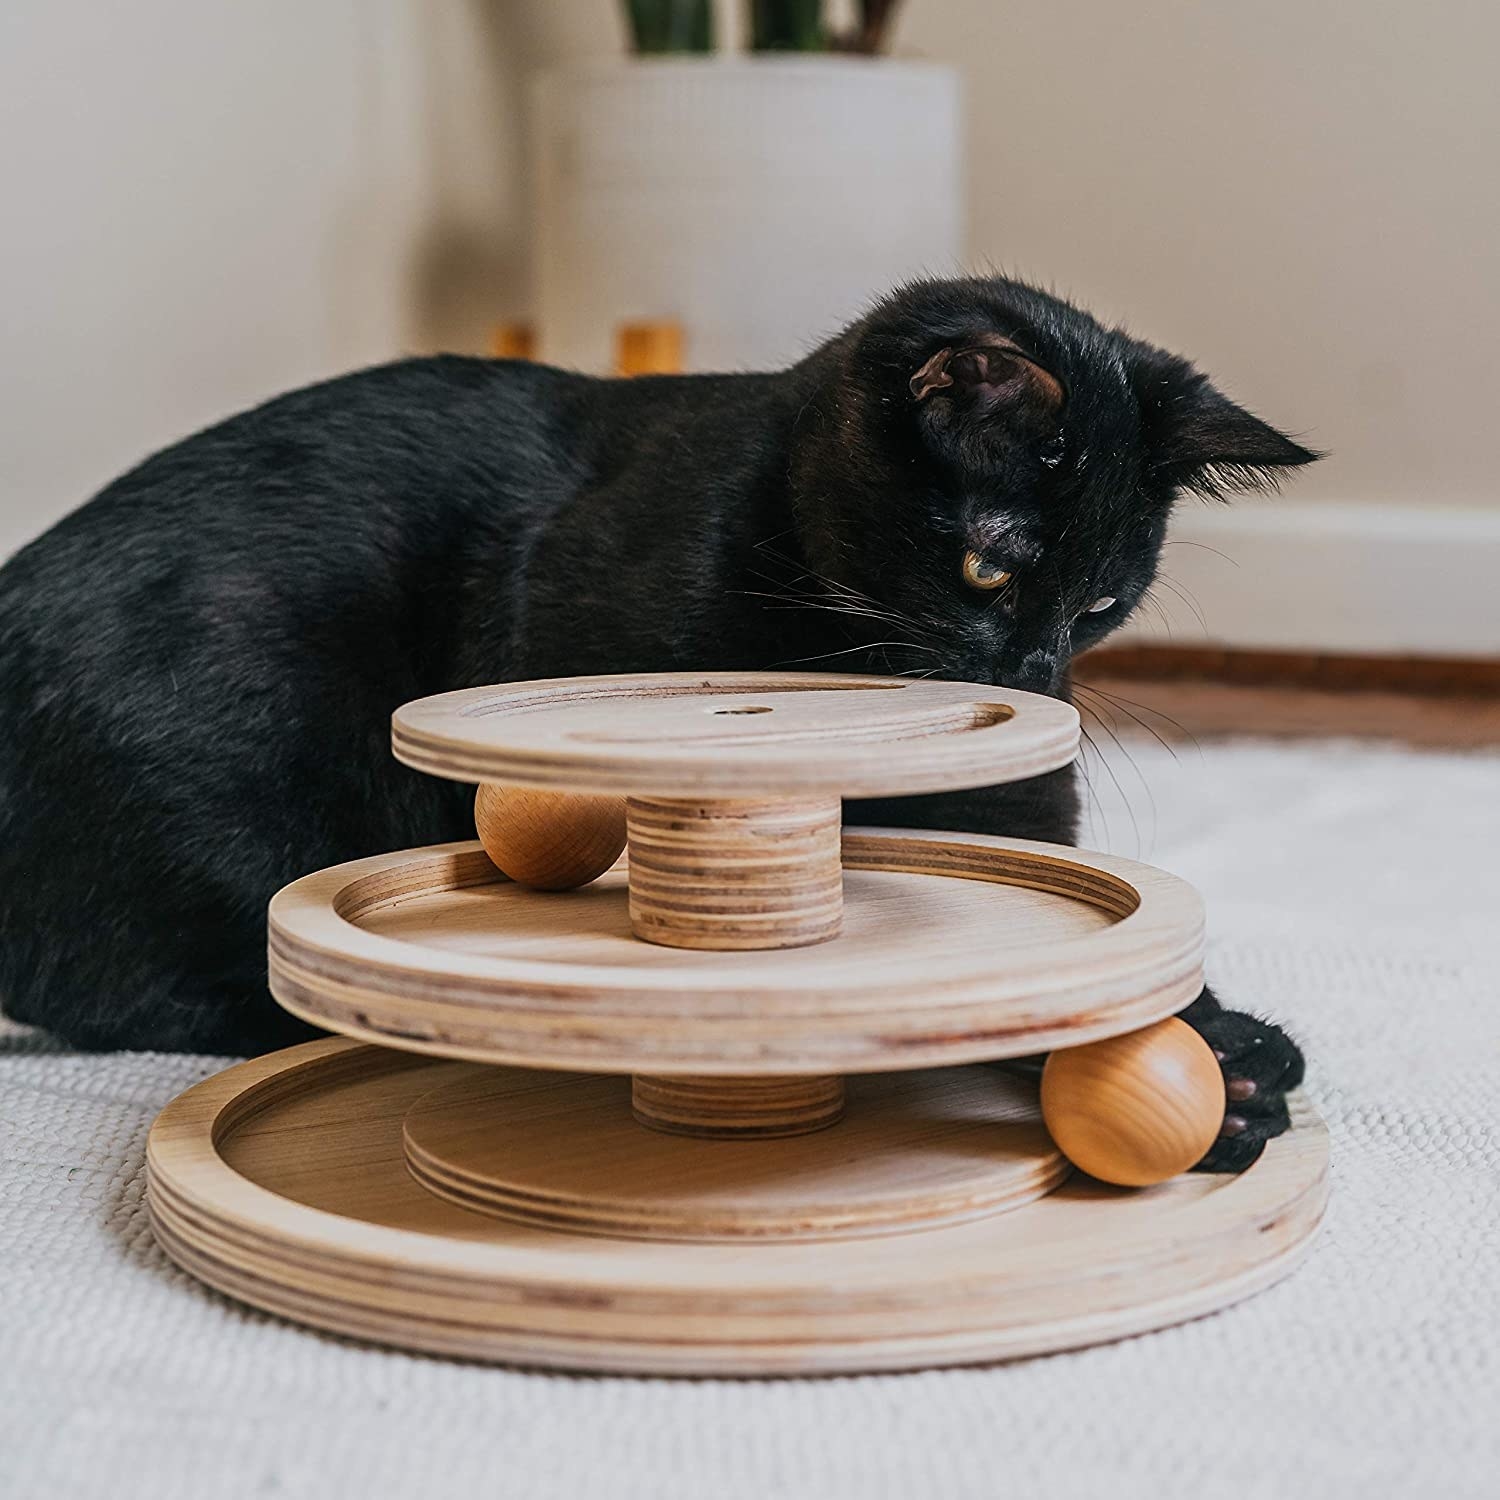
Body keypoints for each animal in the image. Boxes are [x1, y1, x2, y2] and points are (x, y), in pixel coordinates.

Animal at [0, 279, 1314, 1170]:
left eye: (1101, 602)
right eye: (988, 569)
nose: (1038, 675)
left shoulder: (1007, 799)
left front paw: (1207, 1035)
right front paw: (1224, 1081)